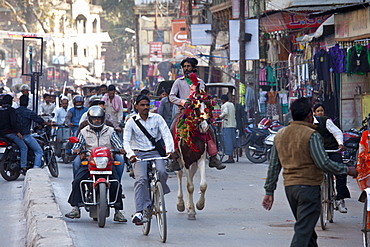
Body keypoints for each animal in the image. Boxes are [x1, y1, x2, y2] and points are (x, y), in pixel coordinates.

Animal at [175, 83, 215, 220]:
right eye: (197, 107)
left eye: (208, 106)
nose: (204, 126)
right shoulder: (185, 160)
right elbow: (189, 186)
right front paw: (191, 211)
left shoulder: (201, 159)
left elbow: (202, 185)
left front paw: (198, 205)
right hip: (178, 160)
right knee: (180, 176)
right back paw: (181, 204)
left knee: (190, 177)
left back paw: (188, 205)